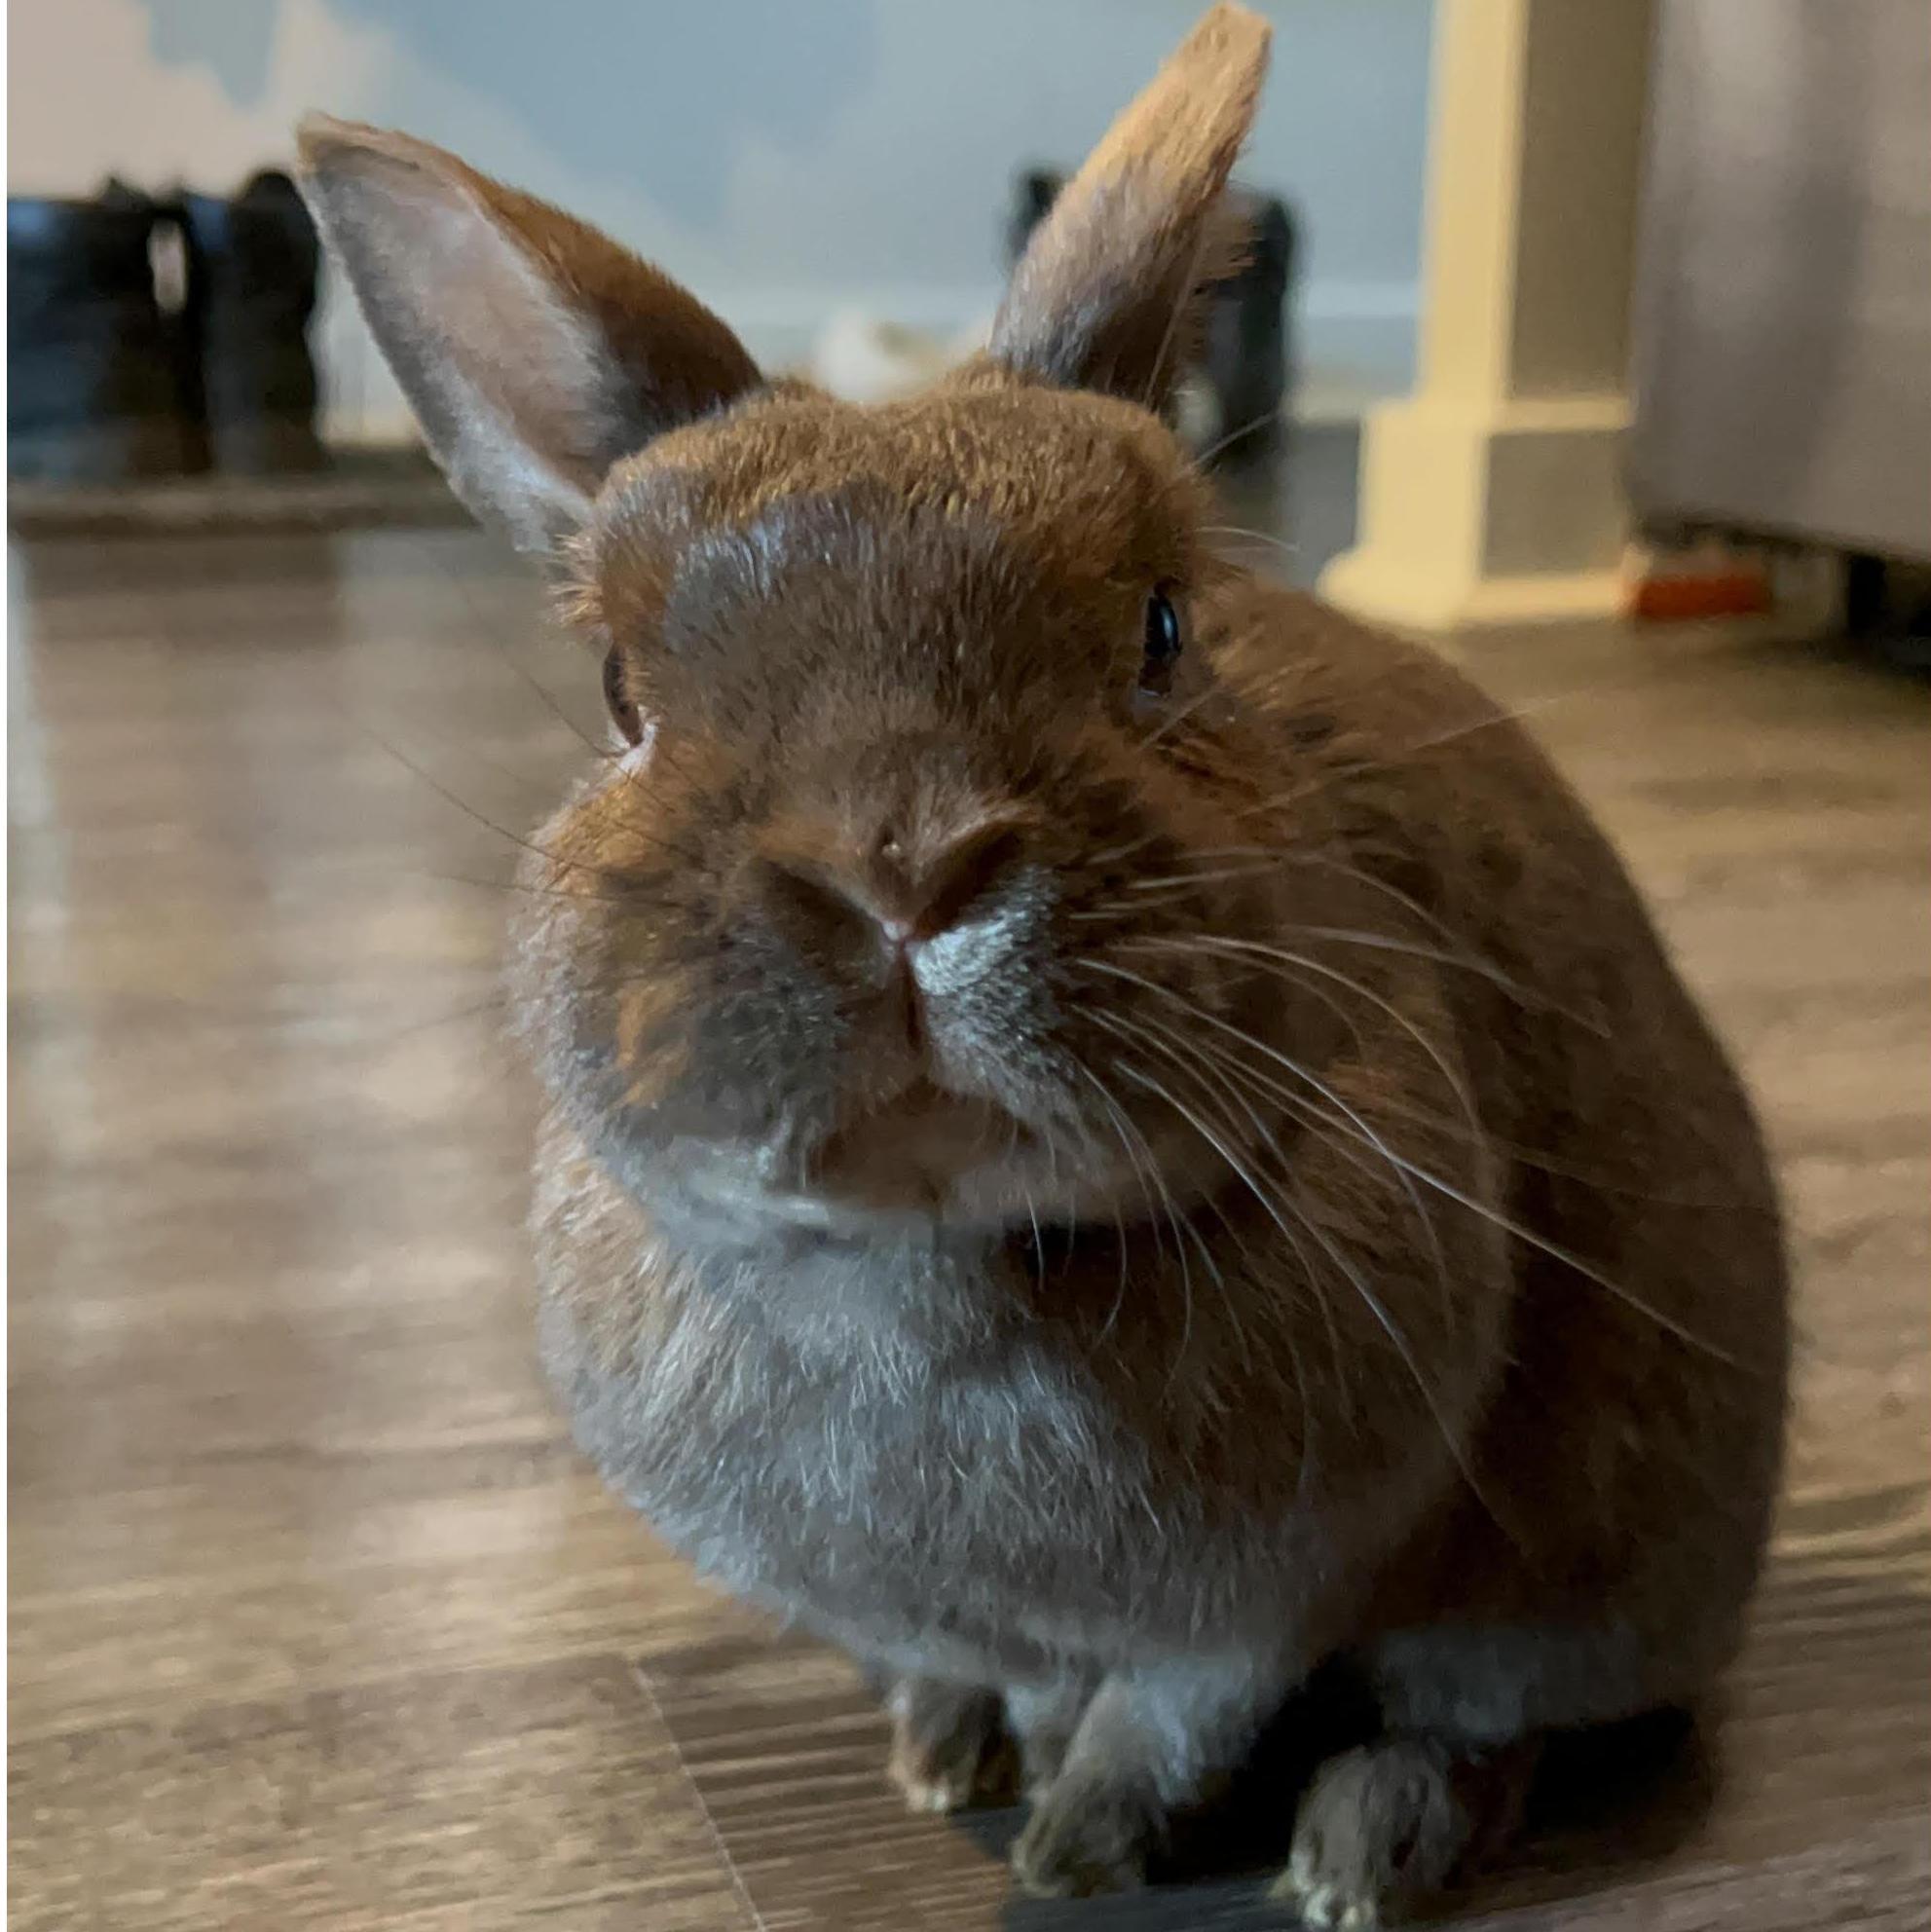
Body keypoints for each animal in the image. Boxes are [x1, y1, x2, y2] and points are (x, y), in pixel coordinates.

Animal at [296, 6, 1789, 1922]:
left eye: (1160, 632)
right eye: (623, 696)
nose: (899, 873)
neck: (929, 1269)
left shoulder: (1256, 1607)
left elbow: (1164, 1724)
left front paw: (1077, 1856)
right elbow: (1017, 1674)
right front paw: (968, 1769)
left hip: (1584, 1573)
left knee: (1490, 1722)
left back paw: (1356, 1855)